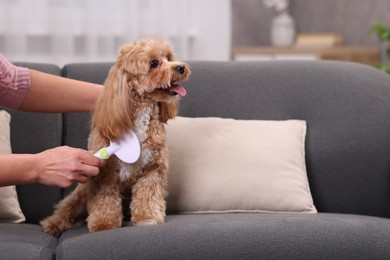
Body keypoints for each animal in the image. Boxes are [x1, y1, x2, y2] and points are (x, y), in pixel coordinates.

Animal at [40, 38, 190, 236]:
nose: (180, 67)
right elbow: (105, 200)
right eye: (154, 63)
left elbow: (147, 196)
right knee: (66, 208)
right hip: (81, 193)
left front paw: (147, 218)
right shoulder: (105, 174)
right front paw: (104, 224)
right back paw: (52, 224)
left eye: (169, 57)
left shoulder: (152, 168)